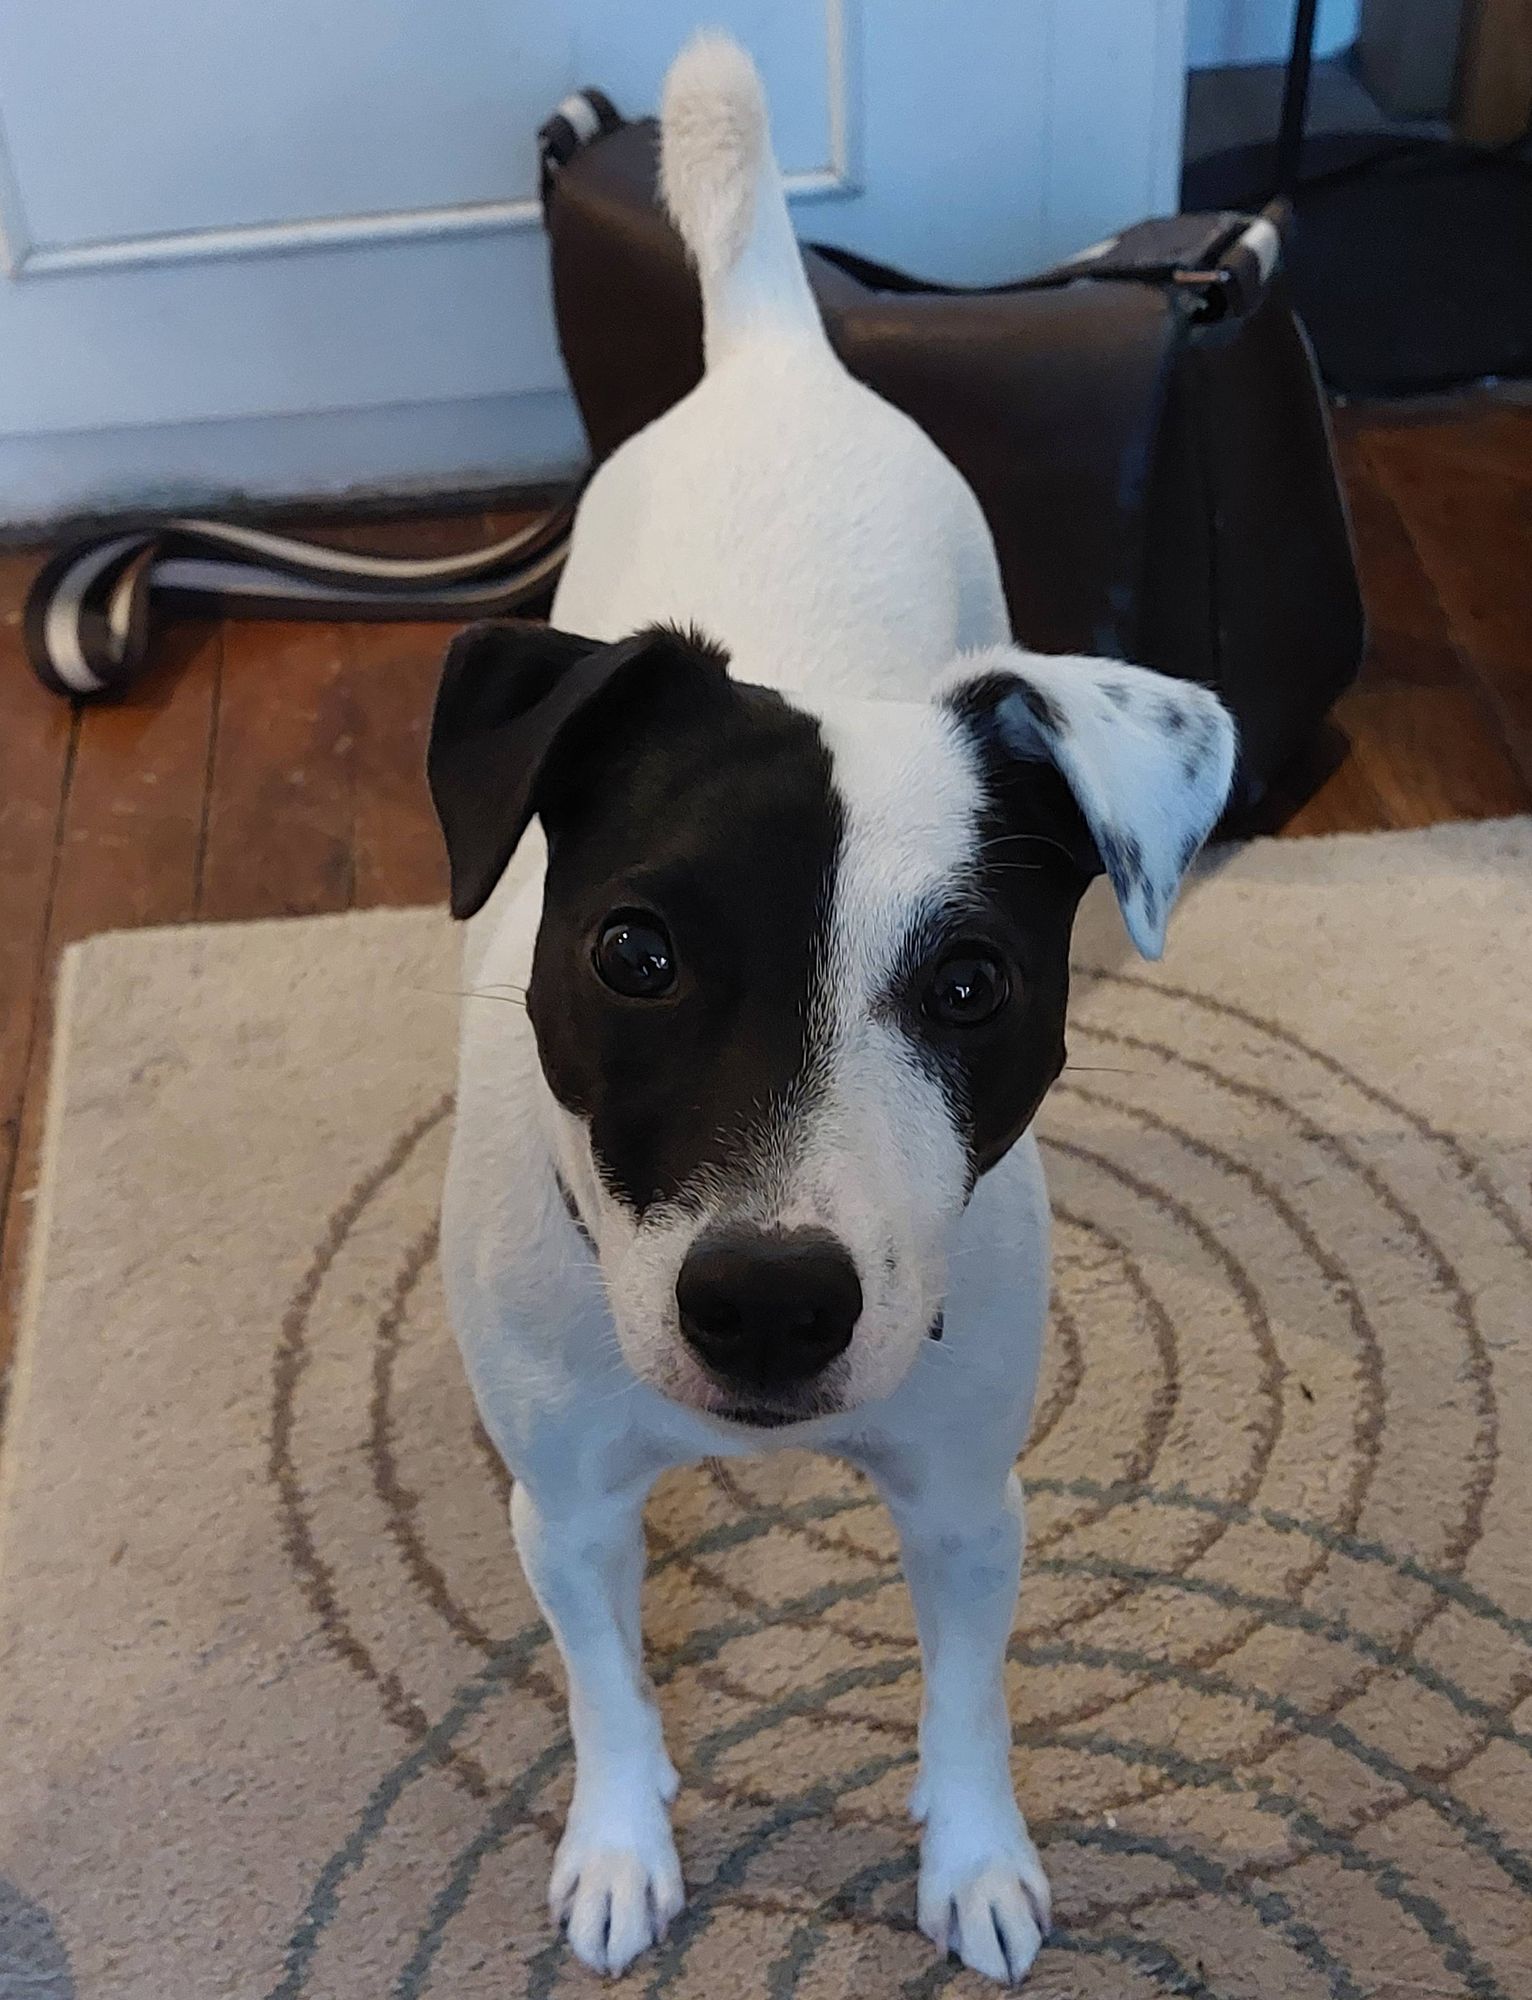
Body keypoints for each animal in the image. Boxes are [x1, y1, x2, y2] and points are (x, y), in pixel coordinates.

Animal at [426, 35, 1240, 1984]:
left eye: (970, 983)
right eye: (633, 954)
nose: (772, 1307)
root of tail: (777, 347)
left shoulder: (962, 1500)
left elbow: (968, 1704)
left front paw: (977, 1861)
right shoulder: (567, 1506)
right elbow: (608, 1693)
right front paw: (623, 1846)